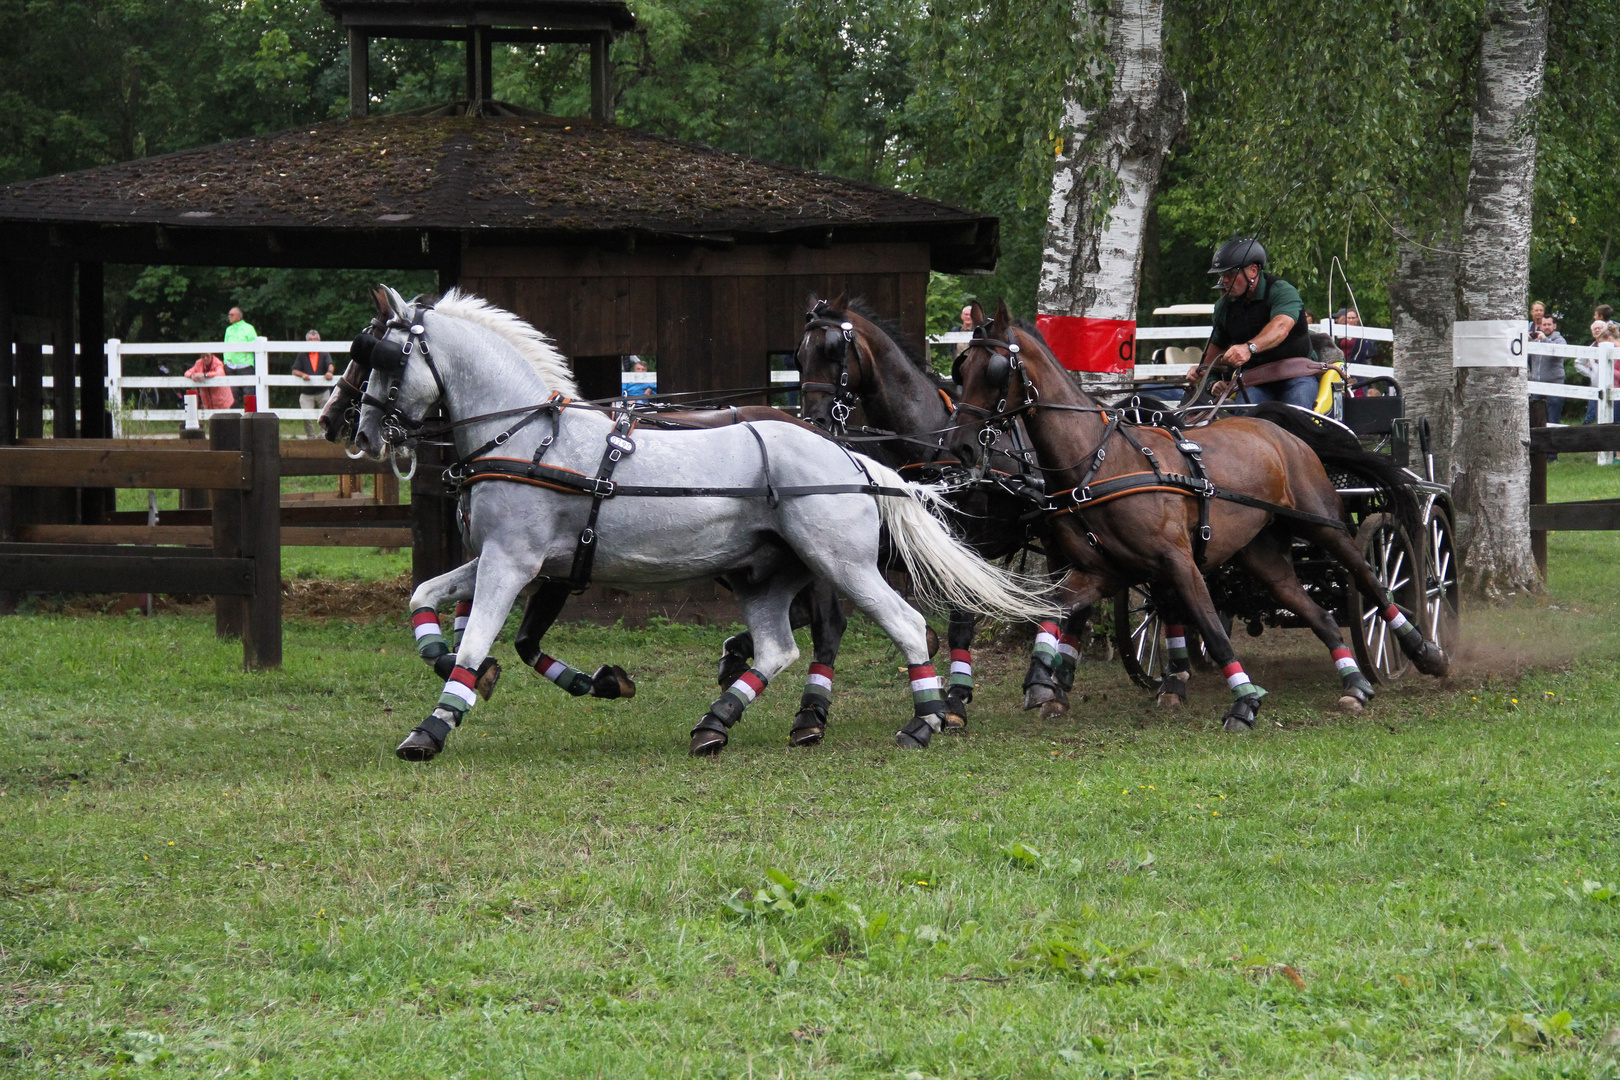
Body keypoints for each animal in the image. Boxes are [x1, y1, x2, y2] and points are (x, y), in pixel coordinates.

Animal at [349, 286, 1049, 761]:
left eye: (382, 357)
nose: (358, 432)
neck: (529, 440)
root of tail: (850, 456)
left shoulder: (513, 562)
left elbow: (474, 643)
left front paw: (432, 727)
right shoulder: (510, 559)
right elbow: (425, 598)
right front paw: (449, 662)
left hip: (841, 564)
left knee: (903, 625)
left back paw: (925, 720)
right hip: (763, 576)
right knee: (777, 647)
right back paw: (717, 722)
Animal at [946, 299, 1451, 731]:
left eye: (994, 370)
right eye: (961, 369)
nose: (961, 446)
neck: (1098, 462)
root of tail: (1279, 427)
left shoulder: (1178, 561)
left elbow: (1211, 626)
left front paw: (1244, 702)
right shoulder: (1101, 570)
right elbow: (1055, 607)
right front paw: (1041, 679)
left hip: (1322, 525)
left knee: (1369, 577)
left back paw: (1424, 650)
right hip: (1263, 555)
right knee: (1319, 614)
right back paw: (1354, 684)